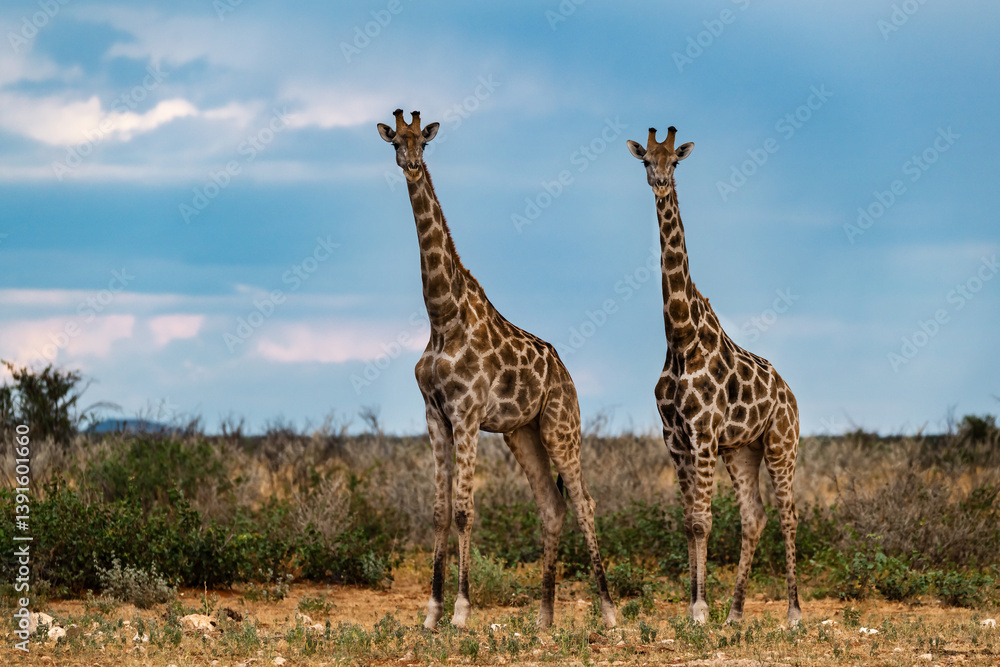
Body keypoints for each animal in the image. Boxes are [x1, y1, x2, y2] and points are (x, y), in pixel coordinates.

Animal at [378, 109, 617, 630]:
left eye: (422, 140)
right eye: (395, 142)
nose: (411, 164)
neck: (442, 316)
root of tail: (567, 375)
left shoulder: (466, 415)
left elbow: (465, 510)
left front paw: (461, 612)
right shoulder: (435, 416)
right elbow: (439, 511)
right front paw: (431, 614)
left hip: (560, 426)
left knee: (585, 503)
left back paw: (611, 613)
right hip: (521, 432)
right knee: (551, 505)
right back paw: (544, 619)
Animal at [625, 126, 801, 626]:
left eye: (675, 161)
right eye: (645, 160)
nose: (660, 183)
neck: (681, 336)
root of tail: (790, 393)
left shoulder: (703, 433)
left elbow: (703, 520)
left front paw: (701, 609)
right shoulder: (675, 438)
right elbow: (690, 523)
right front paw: (697, 606)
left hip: (781, 443)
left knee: (788, 515)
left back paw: (793, 613)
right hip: (742, 450)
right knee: (753, 517)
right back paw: (736, 613)